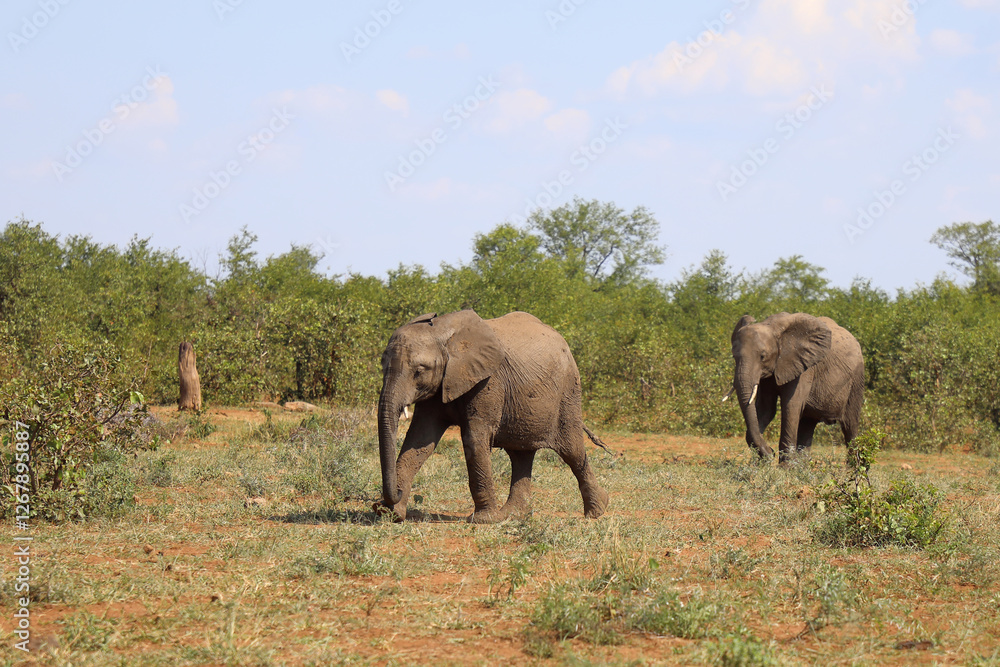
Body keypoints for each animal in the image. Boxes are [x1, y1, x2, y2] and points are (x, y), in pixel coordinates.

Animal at [376, 309, 610, 523]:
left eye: (419, 370)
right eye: (382, 366)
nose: (394, 493)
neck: (444, 332)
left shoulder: (489, 381)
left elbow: (474, 439)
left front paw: (484, 520)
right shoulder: (439, 384)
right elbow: (419, 440)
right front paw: (389, 513)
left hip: (568, 392)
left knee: (572, 451)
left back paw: (597, 511)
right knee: (521, 456)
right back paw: (513, 515)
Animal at [727, 312, 864, 465]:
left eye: (763, 356)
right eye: (734, 356)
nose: (770, 452)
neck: (773, 328)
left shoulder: (804, 368)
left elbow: (791, 407)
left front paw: (784, 467)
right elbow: (766, 409)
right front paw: (767, 460)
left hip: (856, 380)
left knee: (850, 426)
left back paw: (854, 470)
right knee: (808, 423)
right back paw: (801, 468)